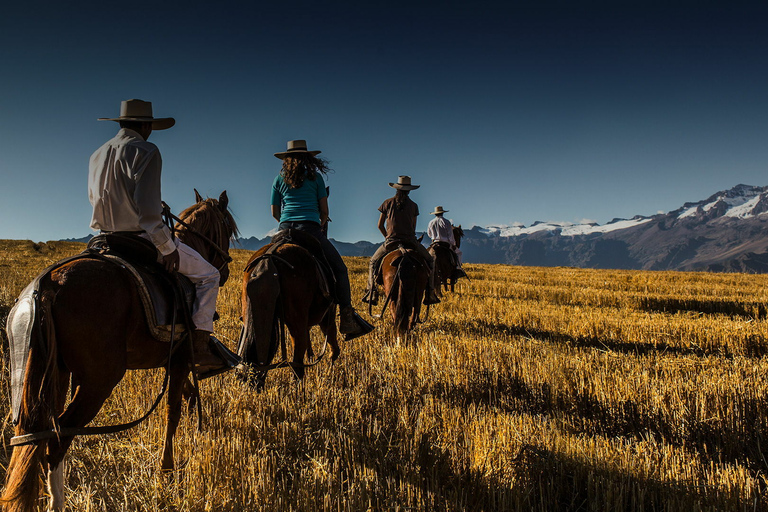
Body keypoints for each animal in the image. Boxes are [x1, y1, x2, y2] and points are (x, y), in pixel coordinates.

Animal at [1, 190, 237, 510]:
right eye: (228, 228)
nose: (225, 270)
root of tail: (48, 286)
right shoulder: (180, 357)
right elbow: (172, 411)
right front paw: (167, 469)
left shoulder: (171, 358)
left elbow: (185, 395)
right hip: (98, 382)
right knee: (57, 440)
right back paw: (56, 501)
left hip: (52, 377)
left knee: (36, 436)